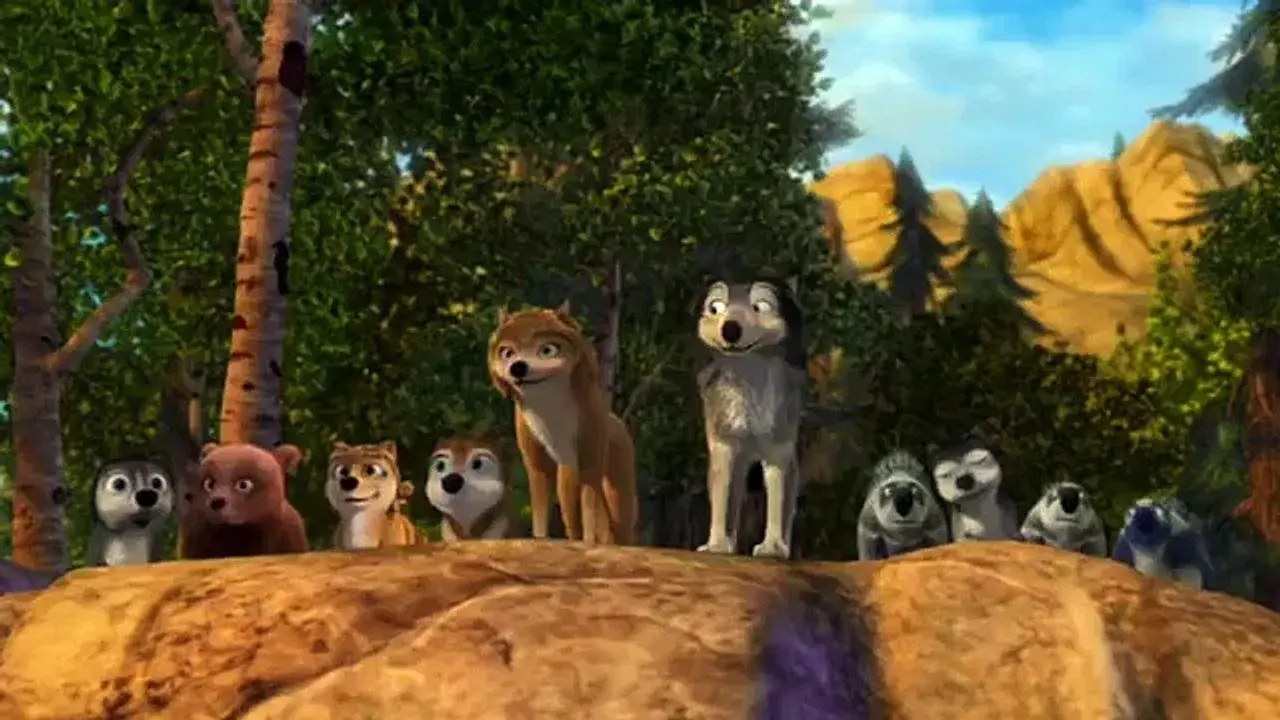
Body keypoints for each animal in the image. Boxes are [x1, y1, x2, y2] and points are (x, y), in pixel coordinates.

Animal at [695, 276, 806, 560]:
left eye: (760, 307)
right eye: (715, 308)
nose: (730, 329)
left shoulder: (779, 445)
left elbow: (779, 491)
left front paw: (773, 548)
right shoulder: (723, 442)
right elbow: (722, 491)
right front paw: (716, 545)